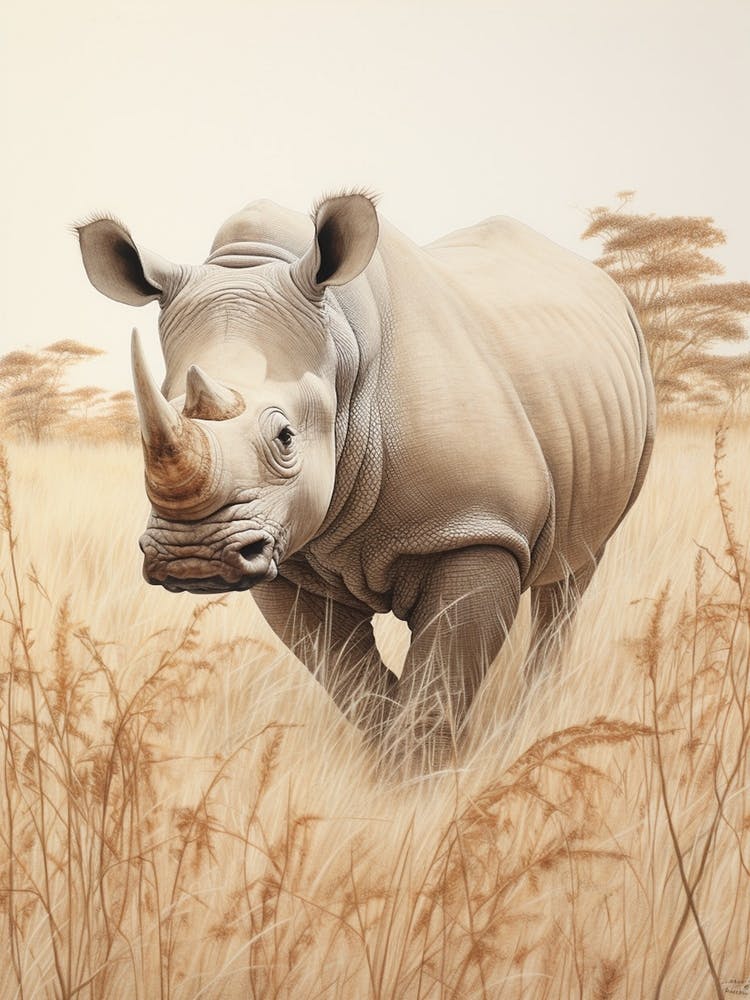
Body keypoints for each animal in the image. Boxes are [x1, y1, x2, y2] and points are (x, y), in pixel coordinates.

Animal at [77, 191, 655, 771]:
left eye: (285, 437)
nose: (191, 557)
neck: (342, 350)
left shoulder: (479, 526)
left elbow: (441, 673)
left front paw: (423, 779)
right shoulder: (287, 557)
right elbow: (348, 676)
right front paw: (391, 768)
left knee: (574, 573)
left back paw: (536, 716)